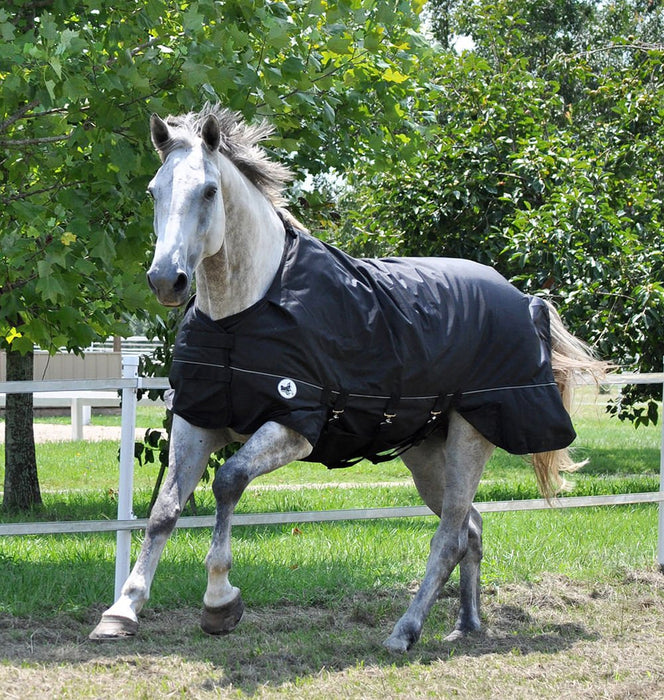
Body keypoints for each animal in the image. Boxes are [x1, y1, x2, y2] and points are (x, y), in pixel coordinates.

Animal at [90, 104, 605, 653]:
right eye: (154, 190)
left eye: (209, 191)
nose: (167, 280)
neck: (242, 313)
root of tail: (526, 300)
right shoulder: (198, 419)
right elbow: (164, 509)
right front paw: (121, 611)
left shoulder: (293, 425)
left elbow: (228, 482)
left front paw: (219, 602)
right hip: (428, 455)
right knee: (471, 528)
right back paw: (466, 624)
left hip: (471, 438)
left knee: (448, 537)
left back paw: (404, 633)